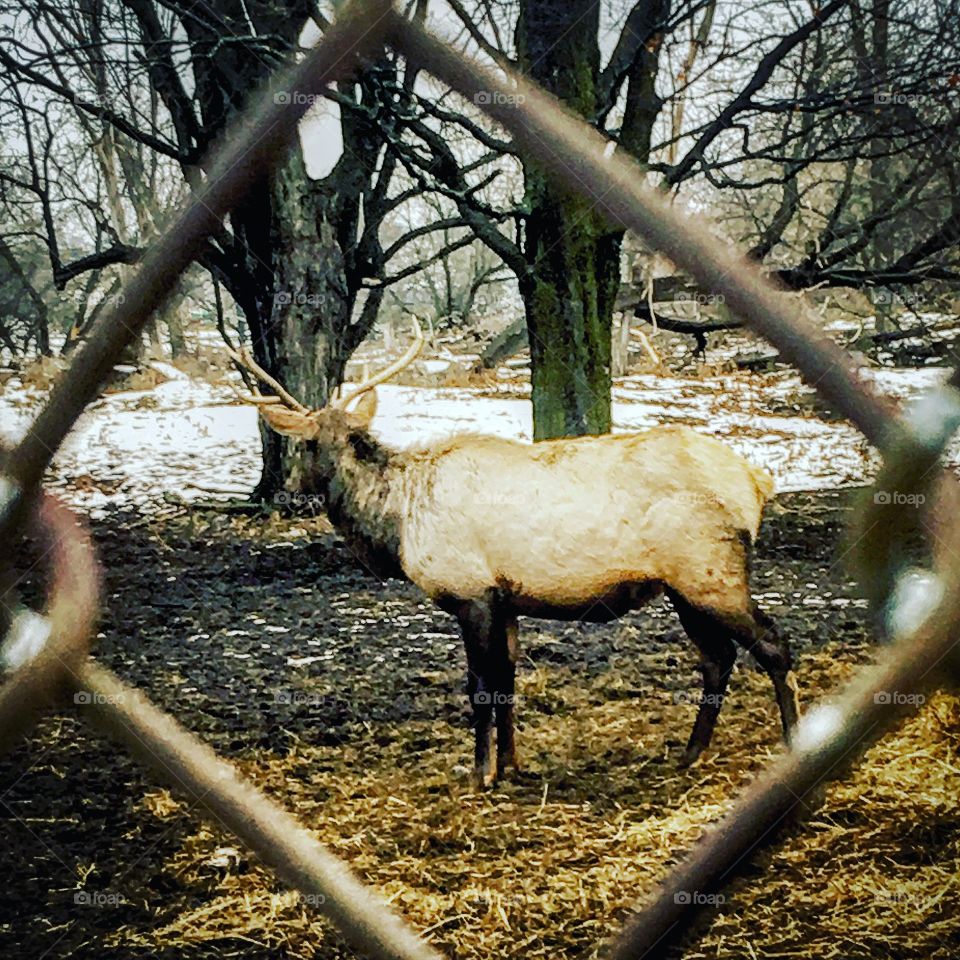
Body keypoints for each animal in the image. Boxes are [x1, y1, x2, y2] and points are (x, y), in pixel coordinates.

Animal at [230, 322, 800, 788]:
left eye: (354, 436)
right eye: (316, 441)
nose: (296, 490)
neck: (398, 524)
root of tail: (757, 483)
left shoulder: (471, 592)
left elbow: (481, 685)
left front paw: (479, 775)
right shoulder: (505, 600)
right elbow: (507, 680)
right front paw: (511, 765)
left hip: (709, 572)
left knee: (772, 643)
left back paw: (792, 740)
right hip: (685, 587)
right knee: (718, 657)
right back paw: (689, 754)